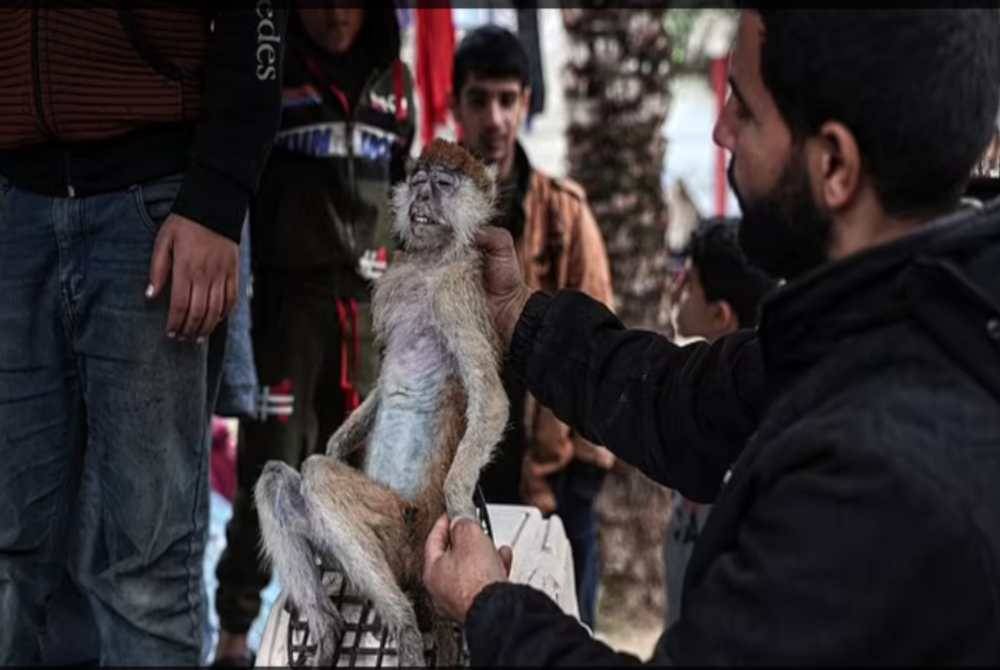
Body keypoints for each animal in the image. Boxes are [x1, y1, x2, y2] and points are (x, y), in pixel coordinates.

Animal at [254, 139, 512, 668]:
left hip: (401, 531)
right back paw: (329, 629)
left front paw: (459, 504)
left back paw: (404, 623)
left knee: (319, 479)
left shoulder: (457, 291)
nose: (422, 201)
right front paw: (338, 443)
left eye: (444, 184)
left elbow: (491, 397)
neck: (432, 261)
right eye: (419, 182)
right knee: (278, 483)